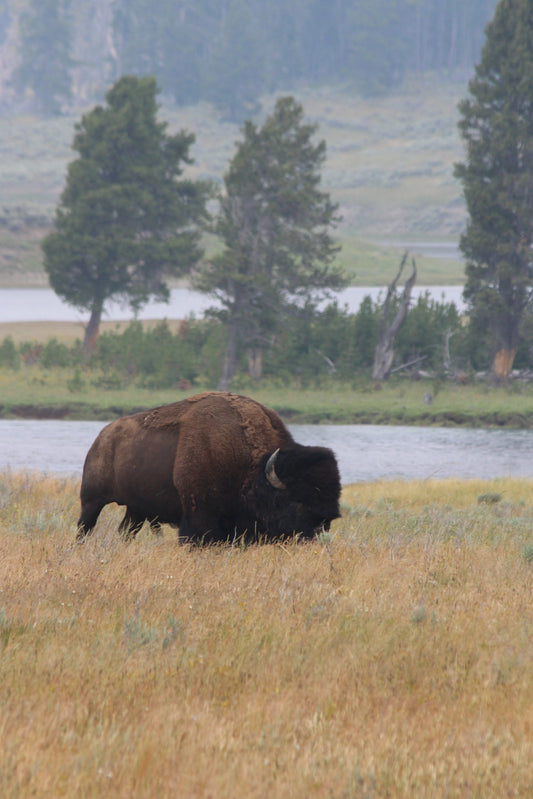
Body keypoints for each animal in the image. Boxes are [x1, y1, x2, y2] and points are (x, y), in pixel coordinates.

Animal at [76, 392, 340, 548]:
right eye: (296, 501)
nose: (319, 532)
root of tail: (102, 436)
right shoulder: (198, 517)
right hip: (92, 500)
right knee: (84, 528)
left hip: (136, 510)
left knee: (126, 530)